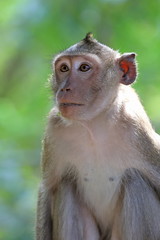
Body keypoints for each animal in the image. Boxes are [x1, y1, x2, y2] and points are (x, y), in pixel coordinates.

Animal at [35, 32, 160, 240]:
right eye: (64, 68)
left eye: (84, 68)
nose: (64, 89)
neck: (94, 125)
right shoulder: (54, 129)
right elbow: (47, 189)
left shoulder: (139, 132)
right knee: (65, 184)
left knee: (135, 180)